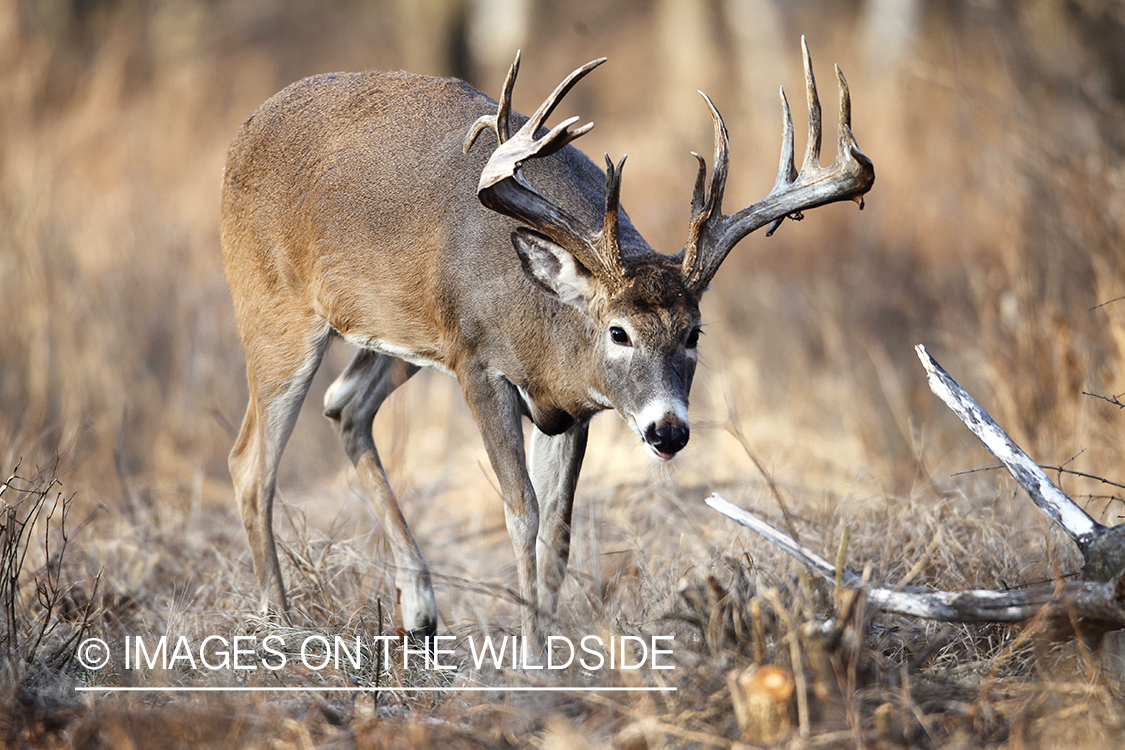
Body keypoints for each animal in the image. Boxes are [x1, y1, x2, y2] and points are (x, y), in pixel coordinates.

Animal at [217, 38, 868, 643]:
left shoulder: (568, 409)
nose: (668, 430)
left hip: (403, 334)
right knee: (250, 462)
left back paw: (419, 610)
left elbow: (558, 527)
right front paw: (528, 652)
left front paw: (549, 650)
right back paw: (278, 622)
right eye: (617, 332)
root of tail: (243, 133)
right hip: (274, 309)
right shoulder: (477, 363)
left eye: (694, 332)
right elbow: (521, 511)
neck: (544, 332)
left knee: (345, 404)